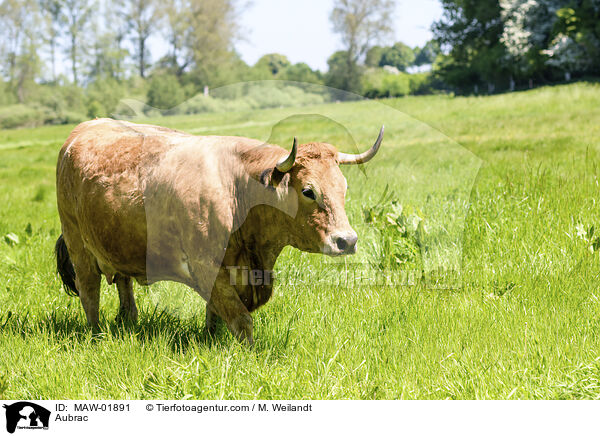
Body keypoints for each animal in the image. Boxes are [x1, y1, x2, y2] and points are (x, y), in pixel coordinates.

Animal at [56, 118, 384, 344]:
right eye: (308, 191)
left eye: (343, 188)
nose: (347, 240)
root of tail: (83, 130)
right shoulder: (206, 266)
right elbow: (239, 319)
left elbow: (214, 312)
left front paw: (211, 339)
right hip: (77, 244)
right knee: (89, 292)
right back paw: (96, 334)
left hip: (117, 245)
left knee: (124, 287)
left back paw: (128, 322)